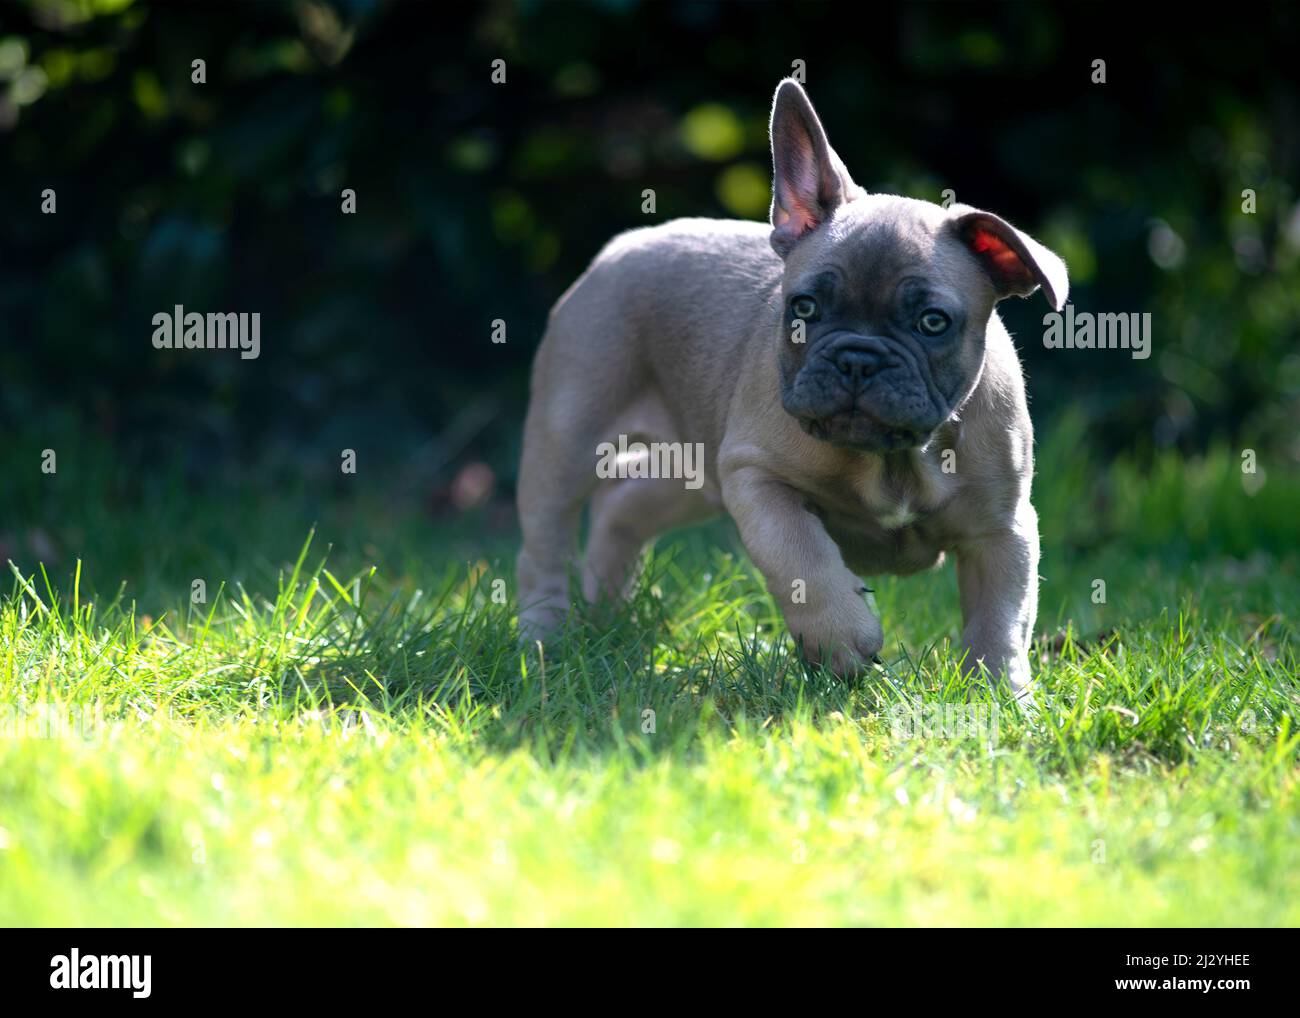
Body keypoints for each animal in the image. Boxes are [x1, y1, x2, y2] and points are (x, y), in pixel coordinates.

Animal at [514, 77, 1066, 702]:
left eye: (932, 322)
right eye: (803, 309)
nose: (857, 358)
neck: (895, 459)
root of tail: (619, 248)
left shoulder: (1002, 528)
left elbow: (1001, 617)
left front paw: (999, 695)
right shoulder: (755, 476)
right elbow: (800, 557)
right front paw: (842, 637)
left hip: (691, 469)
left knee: (621, 504)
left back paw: (608, 613)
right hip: (568, 441)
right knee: (545, 542)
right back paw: (544, 636)